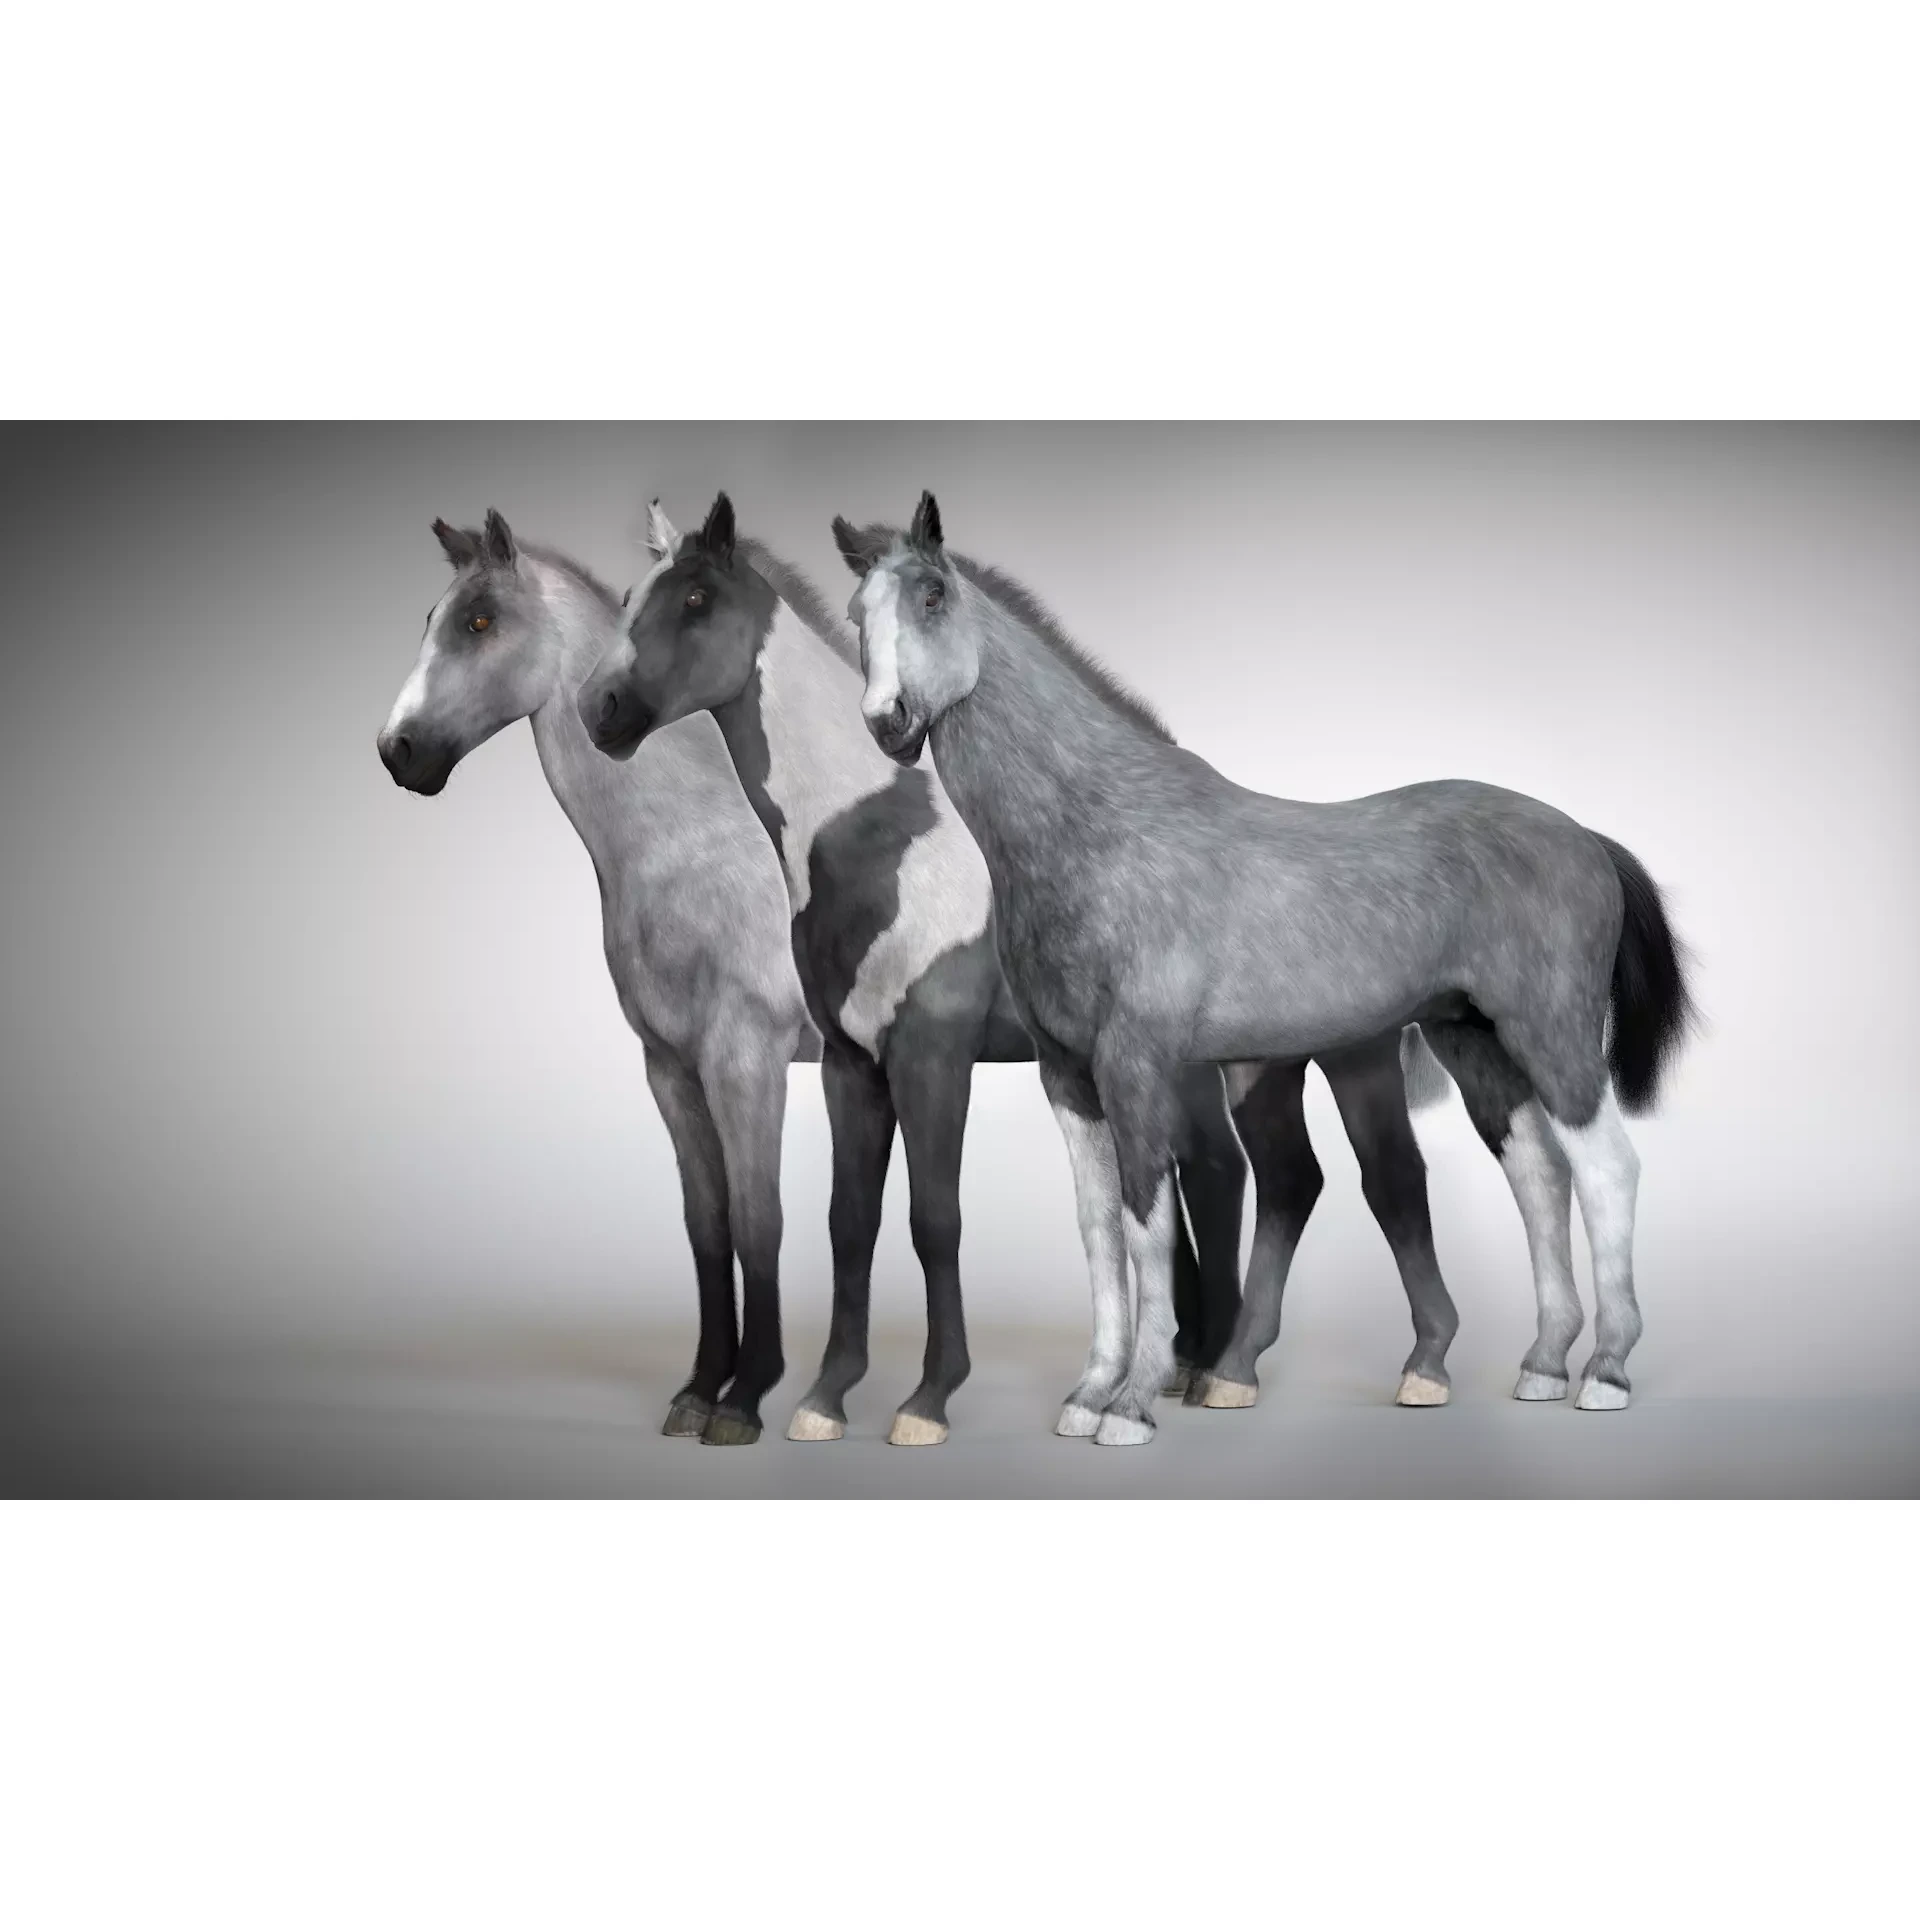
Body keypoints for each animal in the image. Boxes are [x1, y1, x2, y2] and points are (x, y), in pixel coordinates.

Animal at [376, 510, 815, 1445]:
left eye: (478, 621)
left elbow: (759, 1222)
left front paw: (747, 1399)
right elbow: (706, 1225)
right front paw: (700, 1388)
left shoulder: (749, 1061)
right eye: (430, 618)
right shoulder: (671, 1067)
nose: (399, 751)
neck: (697, 847)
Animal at [578, 493, 1465, 1442]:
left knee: (1368, 1178)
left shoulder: (932, 1056)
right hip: (1241, 1067)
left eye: (696, 599)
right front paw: (823, 1399)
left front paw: (926, 1401)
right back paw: (1210, 1365)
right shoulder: (852, 1063)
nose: (602, 710)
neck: (875, 841)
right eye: (631, 598)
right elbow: (849, 1222)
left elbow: (934, 1220)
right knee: (1257, 1176)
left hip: (1340, 1059)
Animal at [838, 492, 1696, 1444]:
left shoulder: (1136, 1064)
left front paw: (1133, 1403)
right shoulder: (1066, 1075)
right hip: (1473, 1043)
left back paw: (1606, 1370)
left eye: (932, 598)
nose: (889, 721)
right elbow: (1097, 1228)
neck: (1098, 831)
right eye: (856, 617)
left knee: (1607, 1169)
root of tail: (1585, 838)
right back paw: (1541, 1364)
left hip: (1552, 1037)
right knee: (1540, 1175)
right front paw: (1089, 1393)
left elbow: (1147, 1221)